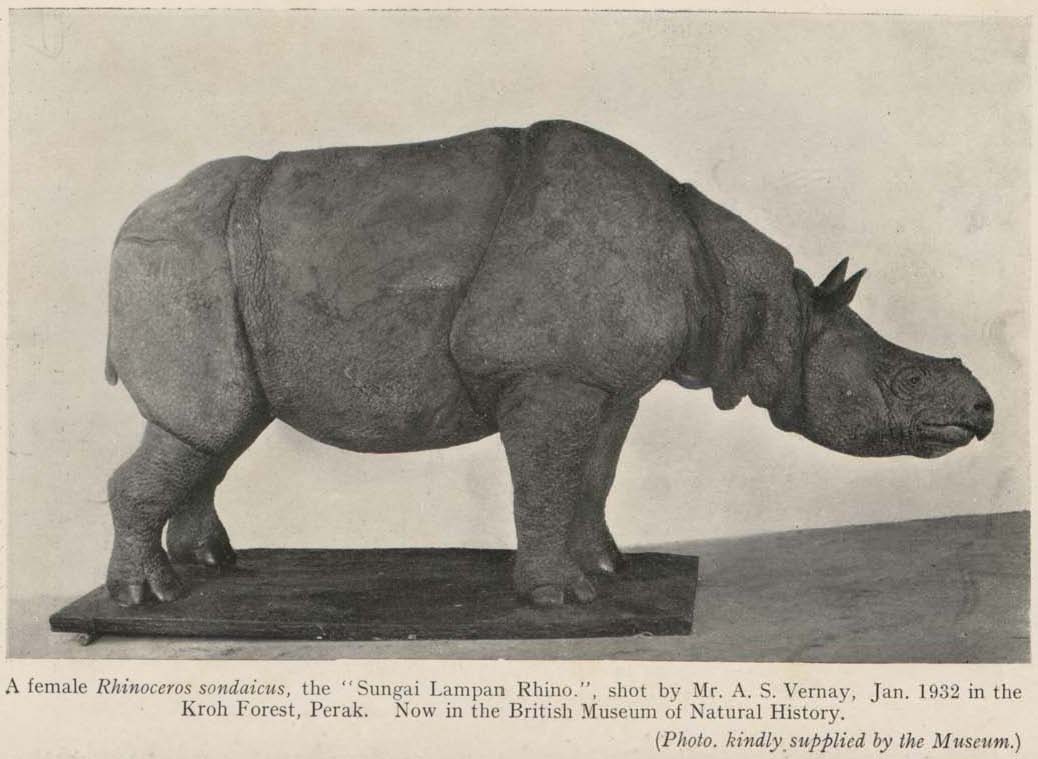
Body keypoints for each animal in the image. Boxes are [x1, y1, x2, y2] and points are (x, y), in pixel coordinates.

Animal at [104, 120, 993, 608]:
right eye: (905, 380)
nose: (983, 408)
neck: (754, 302)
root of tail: (128, 219)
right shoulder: (547, 373)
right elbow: (544, 476)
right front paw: (558, 596)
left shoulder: (610, 382)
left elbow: (591, 473)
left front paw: (607, 566)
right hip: (181, 259)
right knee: (205, 424)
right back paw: (149, 598)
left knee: (219, 430)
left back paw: (213, 567)